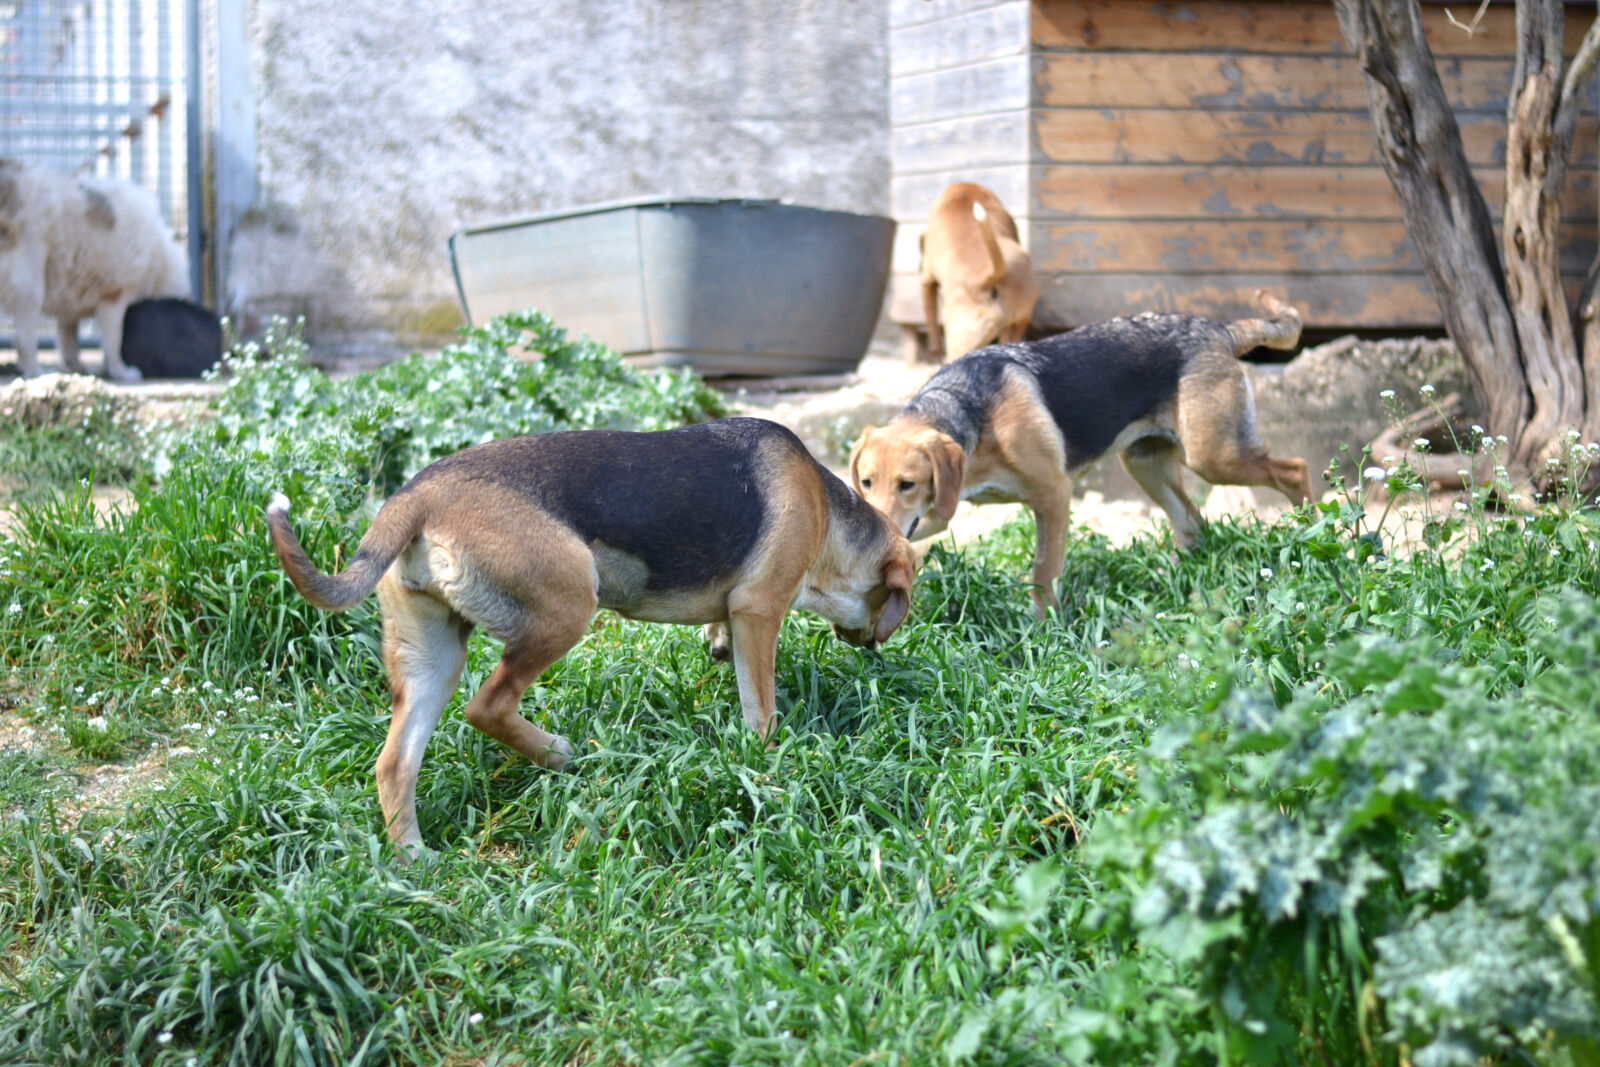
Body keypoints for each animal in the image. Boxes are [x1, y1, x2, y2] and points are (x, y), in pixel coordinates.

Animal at [0, 158, 188, 381]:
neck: (158, 258)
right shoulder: (114, 296)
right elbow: (113, 342)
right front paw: (120, 371)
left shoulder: (68, 310)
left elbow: (69, 341)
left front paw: (77, 367)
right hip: (30, 286)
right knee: (24, 339)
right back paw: (38, 373)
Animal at [268, 417, 918, 856]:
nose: (871, 649)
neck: (831, 515)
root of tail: (414, 498)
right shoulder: (760, 612)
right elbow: (761, 709)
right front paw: (766, 765)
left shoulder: (738, 612)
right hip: (567, 606)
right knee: (488, 706)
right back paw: (560, 754)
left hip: (434, 658)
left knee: (395, 762)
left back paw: (414, 860)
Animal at [851, 293, 1312, 619]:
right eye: (866, 482)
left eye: (908, 484)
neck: (967, 406)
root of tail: (1218, 330)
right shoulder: (938, 510)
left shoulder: (1053, 495)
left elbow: (1042, 572)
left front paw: (1042, 629)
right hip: (1146, 464)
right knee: (1191, 522)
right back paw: (1174, 581)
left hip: (1216, 457)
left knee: (1293, 469)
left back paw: (1311, 528)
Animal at [919, 182, 1039, 363]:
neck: (965, 194)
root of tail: (987, 277)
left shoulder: (927, 280)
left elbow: (931, 318)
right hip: (1020, 321)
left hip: (964, 334)